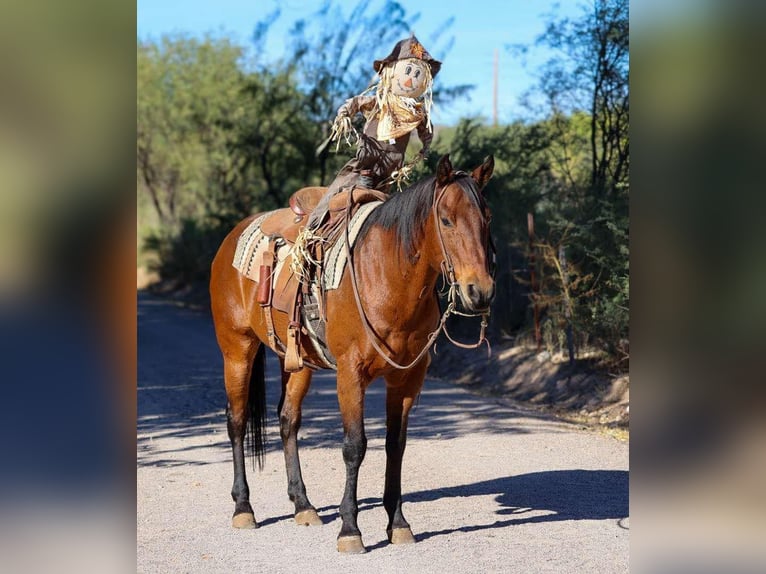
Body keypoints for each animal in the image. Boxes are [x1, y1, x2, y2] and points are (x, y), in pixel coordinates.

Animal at [210, 154, 498, 552]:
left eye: (487, 218)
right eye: (446, 220)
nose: (479, 291)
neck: (386, 276)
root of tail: (230, 238)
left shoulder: (407, 379)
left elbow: (396, 445)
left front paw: (398, 523)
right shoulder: (350, 374)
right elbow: (354, 446)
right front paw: (350, 529)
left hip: (297, 362)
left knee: (287, 420)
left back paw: (303, 505)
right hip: (237, 350)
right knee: (236, 421)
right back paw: (243, 508)